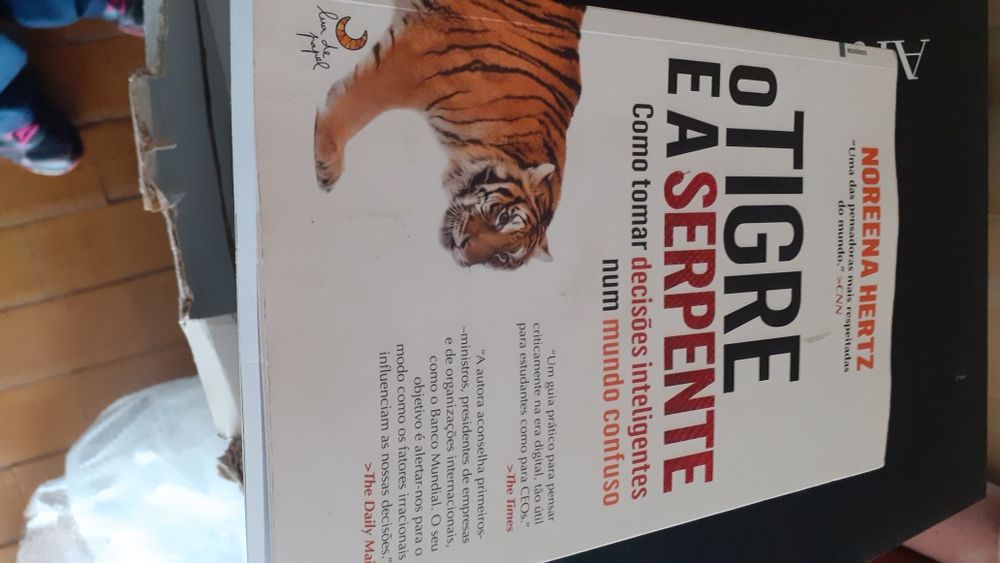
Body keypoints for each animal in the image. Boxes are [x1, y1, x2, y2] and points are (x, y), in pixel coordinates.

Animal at [314, 0, 586, 269]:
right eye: (504, 218)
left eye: (503, 257)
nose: (463, 255)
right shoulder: (418, 59)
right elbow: (359, 101)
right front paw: (327, 164)